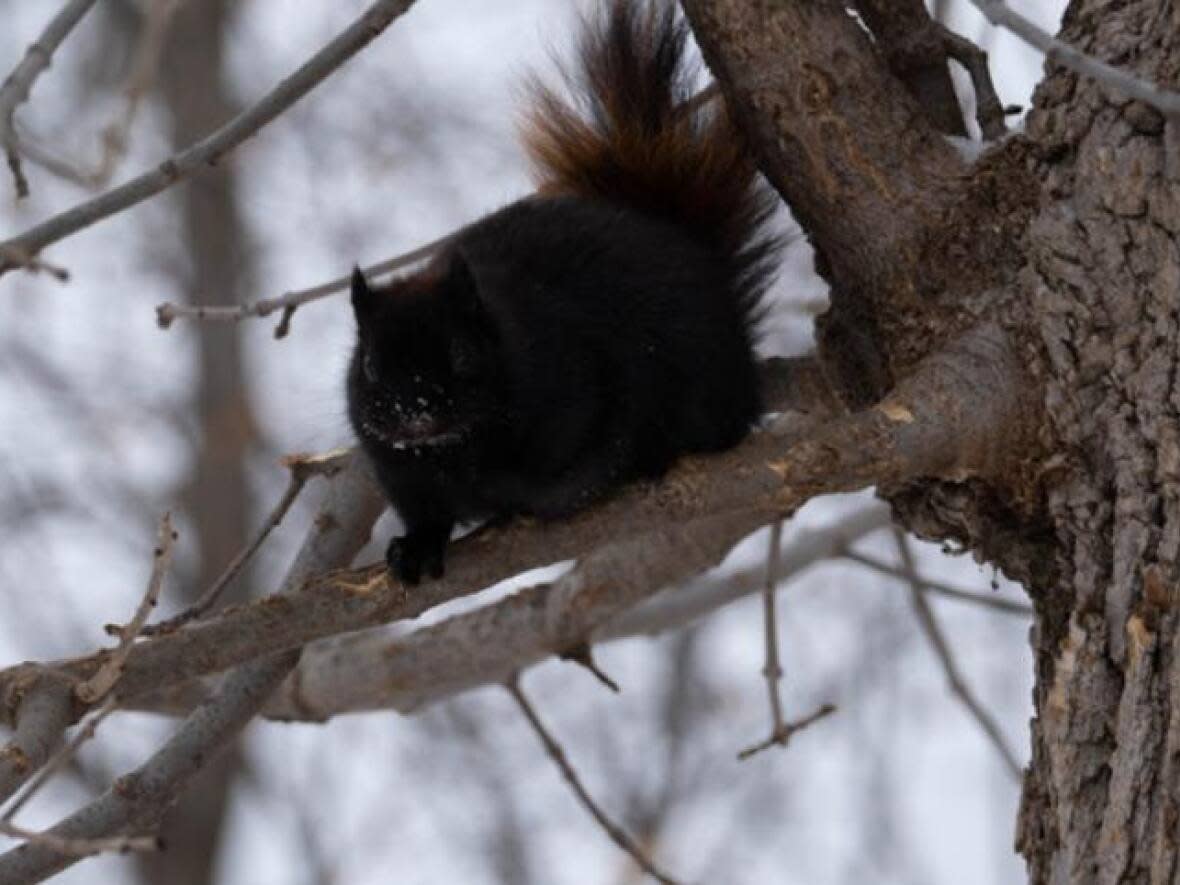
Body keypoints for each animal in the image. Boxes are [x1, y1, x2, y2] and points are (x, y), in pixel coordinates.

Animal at [344, 0, 778, 585]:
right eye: (368, 365)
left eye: (461, 353)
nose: (413, 410)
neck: (453, 448)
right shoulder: (397, 469)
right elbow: (425, 512)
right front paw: (416, 547)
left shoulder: (579, 385)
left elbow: (582, 460)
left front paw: (514, 494)